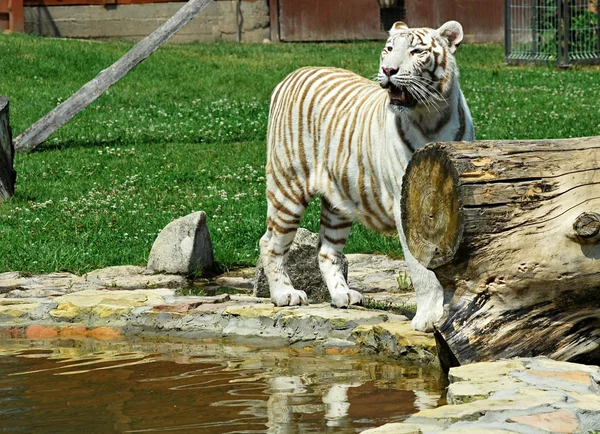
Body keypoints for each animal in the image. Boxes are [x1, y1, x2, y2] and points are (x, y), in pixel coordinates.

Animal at [260, 21, 476, 332]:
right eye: (388, 49)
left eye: (417, 51)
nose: (388, 70)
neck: (431, 117)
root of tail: (292, 74)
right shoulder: (406, 206)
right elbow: (423, 270)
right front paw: (429, 318)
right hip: (287, 187)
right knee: (270, 243)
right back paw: (285, 294)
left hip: (338, 203)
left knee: (327, 251)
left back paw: (343, 295)